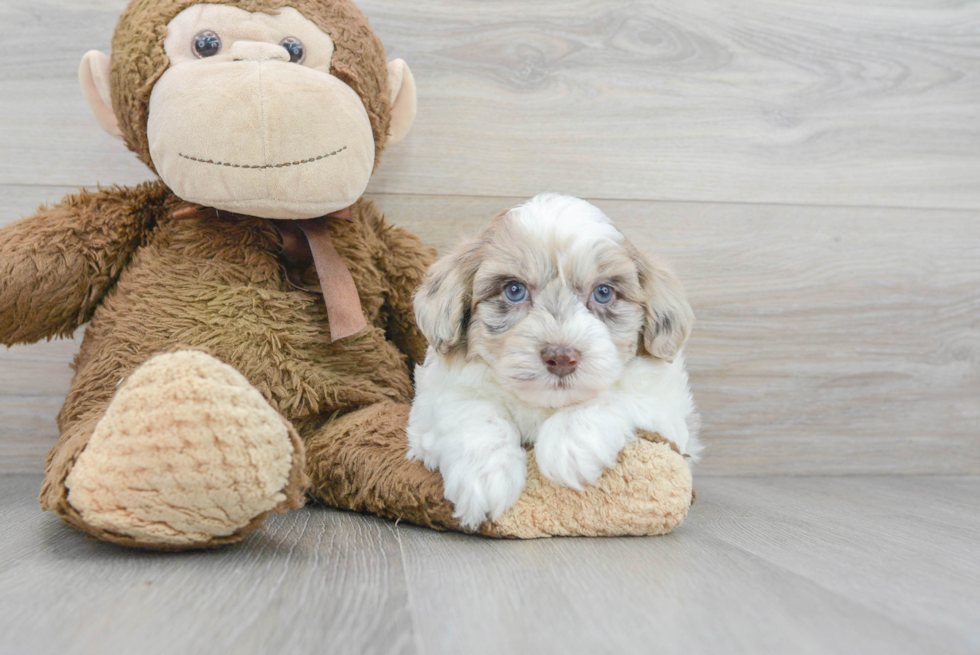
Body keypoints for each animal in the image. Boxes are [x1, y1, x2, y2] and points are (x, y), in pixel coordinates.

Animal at [406, 193, 696, 528]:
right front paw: (485, 475)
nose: (561, 357)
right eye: (514, 290)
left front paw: (569, 444)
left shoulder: (668, 407)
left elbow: (619, 392)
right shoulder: (434, 400)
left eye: (604, 292)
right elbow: (471, 409)